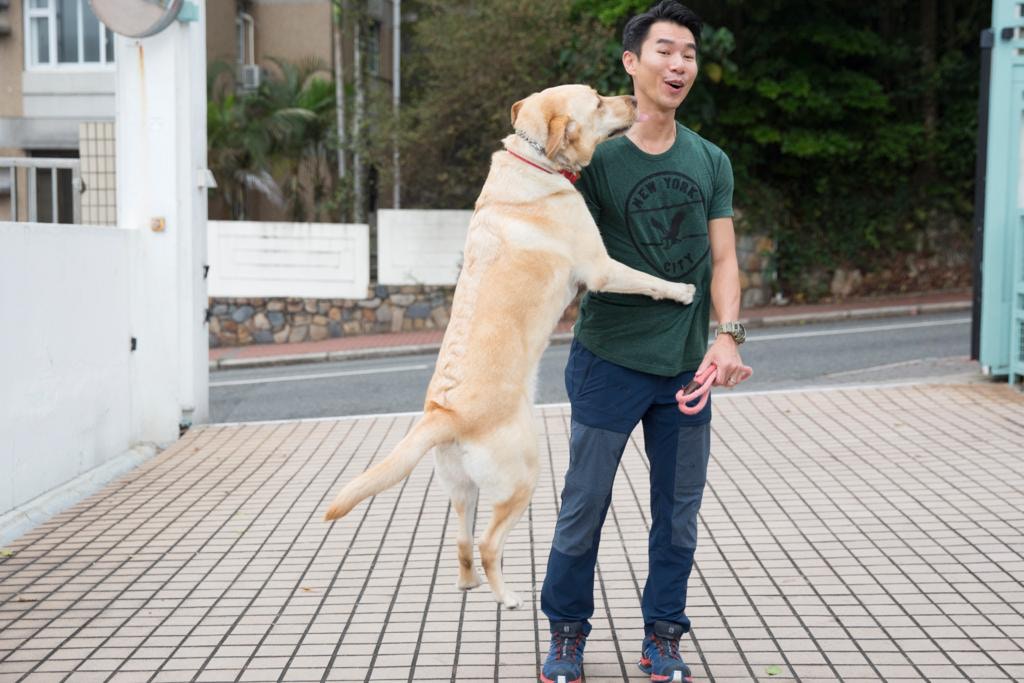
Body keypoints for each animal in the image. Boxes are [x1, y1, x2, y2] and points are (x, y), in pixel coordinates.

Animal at [327, 83, 696, 610]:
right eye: (597, 101)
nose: (630, 98)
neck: (535, 161)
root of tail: (444, 415)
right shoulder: (602, 267)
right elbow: (648, 280)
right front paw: (682, 291)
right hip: (524, 475)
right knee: (486, 542)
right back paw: (508, 597)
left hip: (461, 488)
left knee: (462, 540)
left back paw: (470, 585)